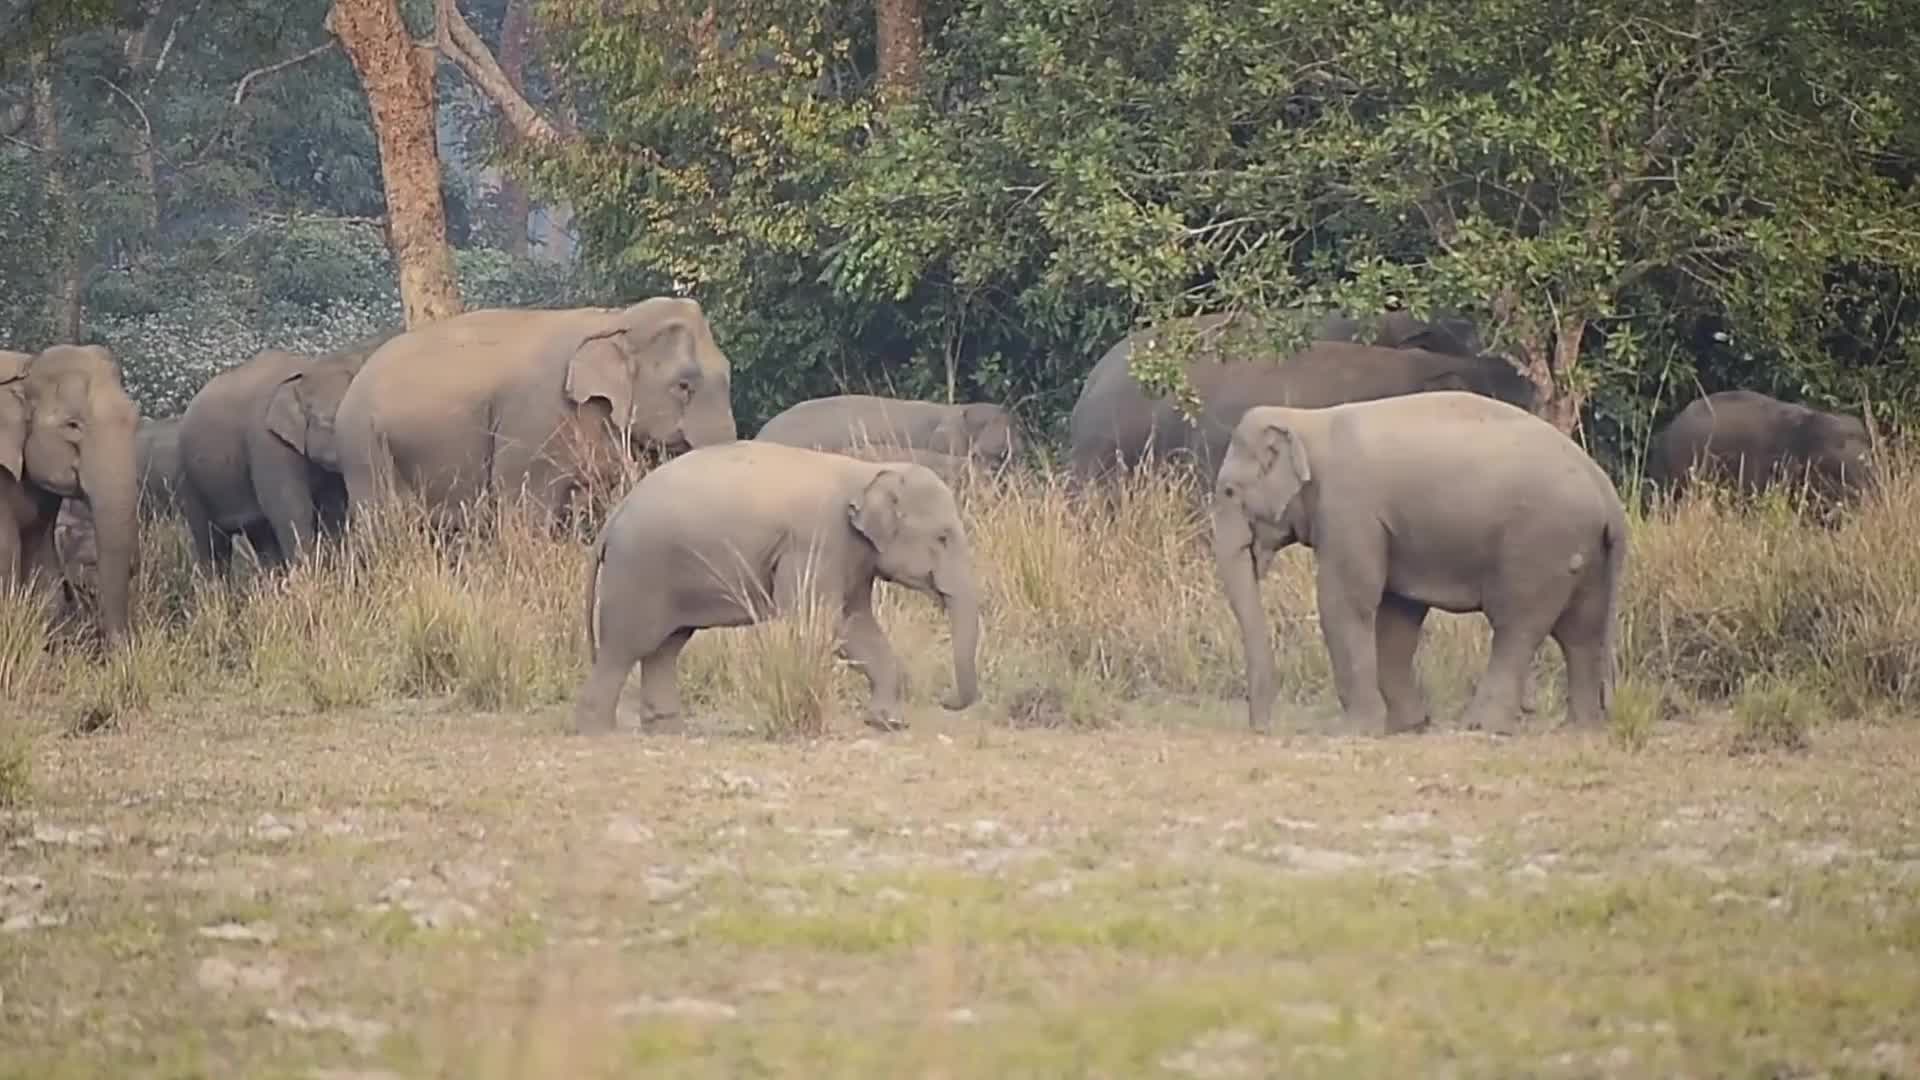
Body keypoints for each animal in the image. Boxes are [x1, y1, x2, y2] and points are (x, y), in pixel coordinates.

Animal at [0, 344, 141, 644]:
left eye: (135, 421)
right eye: (72, 425)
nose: (118, 647)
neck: (27, 367)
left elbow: (42, 557)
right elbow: (6, 553)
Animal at [177, 330, 396, 572]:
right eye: (336, 423)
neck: (309, 369)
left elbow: (332, 511)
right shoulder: (267, 443)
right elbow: (292, 511)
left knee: (260, 535)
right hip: (189, 480)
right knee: (212, 542)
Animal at [574, 441, 981, 736]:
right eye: (943, 537)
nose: (945, 698)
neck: (867, 472)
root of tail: (615, 516)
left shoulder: (852, 556)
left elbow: (857, 624)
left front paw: (888, 724)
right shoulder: (818, 543)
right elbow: (822, 622)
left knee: (666, 646)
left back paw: (668, 730)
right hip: (639, 571)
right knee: (626, 645)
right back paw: (597, 731)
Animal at [1211, 391, 1627, 737]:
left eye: (1228, 491)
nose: (1262, 728)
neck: (1307, 421)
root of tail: (1607, 492)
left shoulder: (1350, 510)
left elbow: (1345, 603)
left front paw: (1354, 731)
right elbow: (1398, 616)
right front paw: (1407, 726)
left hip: (1540, 545)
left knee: (1518, 626)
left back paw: (1481, 726)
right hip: (1583, 550)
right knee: (1580, 632)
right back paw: (1579, 729)